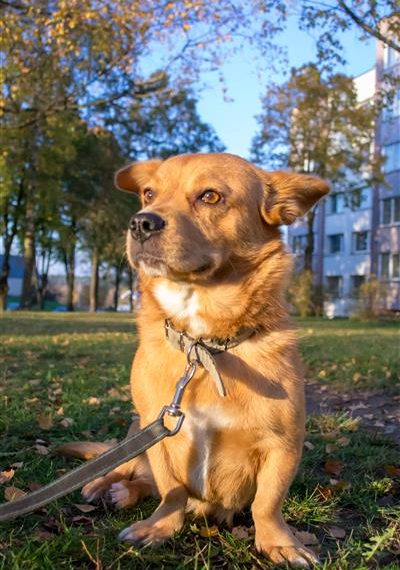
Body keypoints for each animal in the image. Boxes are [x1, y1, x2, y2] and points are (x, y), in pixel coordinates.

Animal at [77, 153, 329, 567]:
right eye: (148, 194)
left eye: (210, 196)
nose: (141, 222)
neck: (204, 343)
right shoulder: (159, 434)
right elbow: (172, 491)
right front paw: (159, 527)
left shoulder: (284, 444)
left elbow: (266, 504)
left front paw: (281, 543)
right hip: (136, 432)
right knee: (127, 469)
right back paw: (104, 485)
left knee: (142, 482)